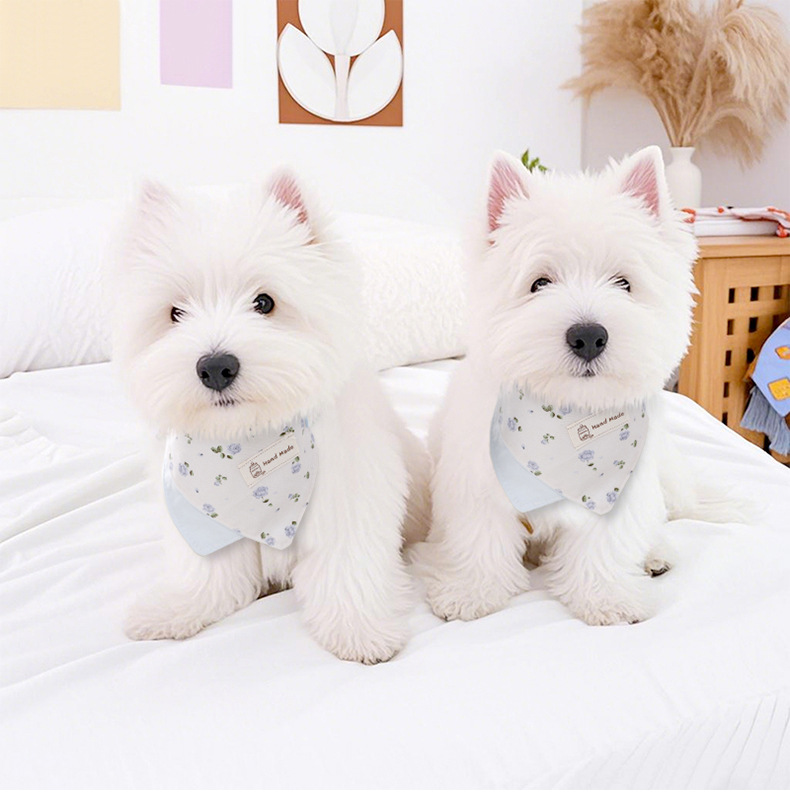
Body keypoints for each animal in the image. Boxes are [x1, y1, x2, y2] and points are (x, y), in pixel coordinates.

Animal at [111, 173, 429, 663]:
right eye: (175, 313)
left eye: (264, 303)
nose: (215, 367)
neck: (245, 441)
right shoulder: (203, 520)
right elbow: (207, 576)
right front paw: (175, 609)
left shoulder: (349, 504)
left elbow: (348, 571)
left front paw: (361, 630)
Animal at [412, 146, 728, 626]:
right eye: (540, 282)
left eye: (623, 282)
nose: (589, 336)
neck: (566, 419)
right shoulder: (476, 483)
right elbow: (480, 540)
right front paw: (471, 591)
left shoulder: (614, 494)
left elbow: (603, 546)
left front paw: (607, 598)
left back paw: (655, 556)